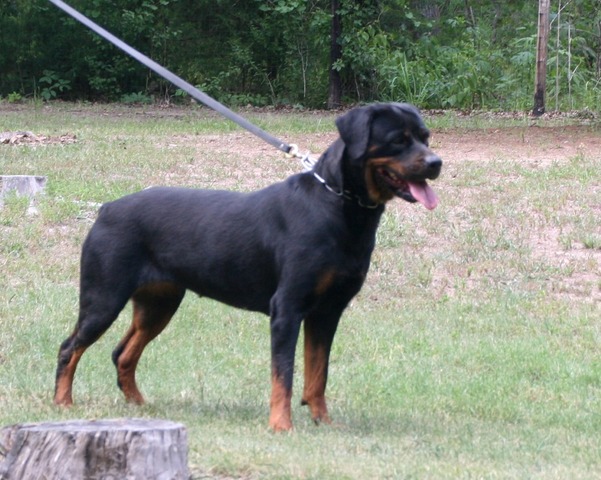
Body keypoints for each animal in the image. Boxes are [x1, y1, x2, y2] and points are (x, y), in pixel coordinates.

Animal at [54, 102, 440, 432]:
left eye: (426, 136)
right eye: (398, 140)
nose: (436, 162)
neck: (338, 205)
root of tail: (106, 208)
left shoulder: (327, 312)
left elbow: (318, 374)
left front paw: (323, 421)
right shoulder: (287, 309)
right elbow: (283, 374)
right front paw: (281, 426)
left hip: (159, 302)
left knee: (122, 353)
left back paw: (139, 405)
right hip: (104, 298)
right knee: (69, 348)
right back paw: (62, 403)